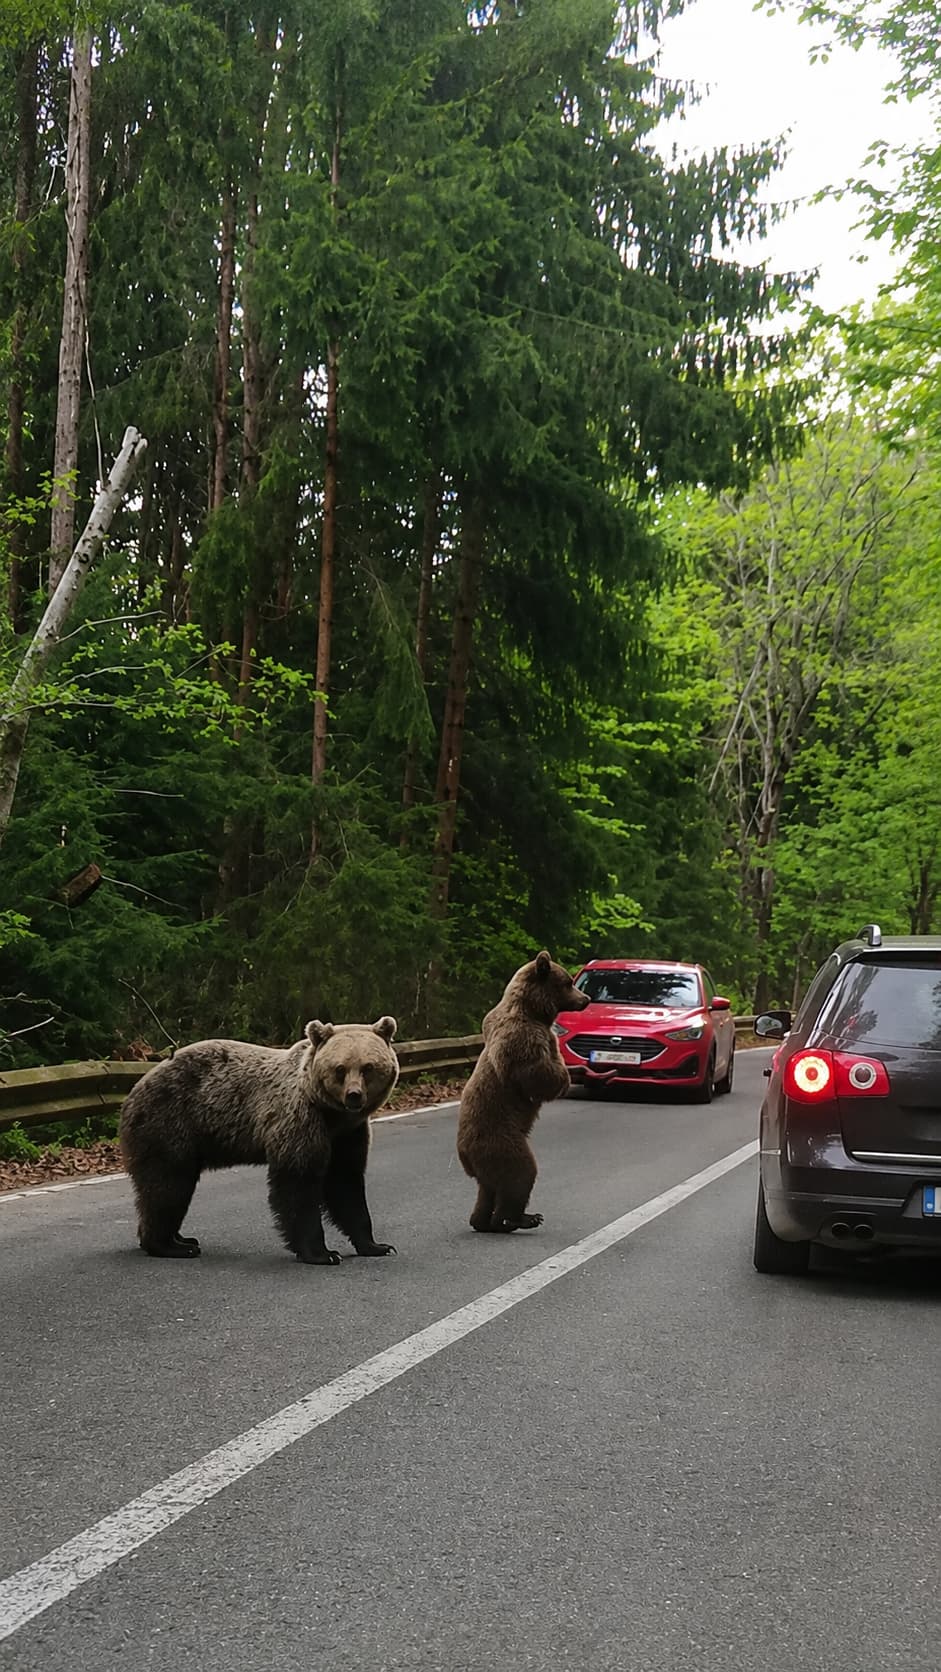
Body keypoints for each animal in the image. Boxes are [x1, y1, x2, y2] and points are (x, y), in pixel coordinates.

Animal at [118, 1017, 399, 1264]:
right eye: (340, 1069)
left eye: (368, 1067)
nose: (354, 1095)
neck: (332, 1115)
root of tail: (132, 1092)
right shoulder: (299, 1120)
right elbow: (298, 1184)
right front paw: (322, 1253)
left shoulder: (348, 1134)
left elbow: (346, 1183)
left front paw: (377, 1246)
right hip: (170, 1124)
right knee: (168, 1185)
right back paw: (169, 1246)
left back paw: (183, 1239)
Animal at [456, 951, 590, 1232]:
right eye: (568, 982)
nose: (586, 999)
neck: (533, 1009)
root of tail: (465, 1155)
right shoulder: (523, 1037)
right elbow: (539, 1075)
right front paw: (566, 1074)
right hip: (502, 1140)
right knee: (521, 1173)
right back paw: (517, 1219)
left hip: (487, 1162)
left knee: (488, 1188)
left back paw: (481, 1221)